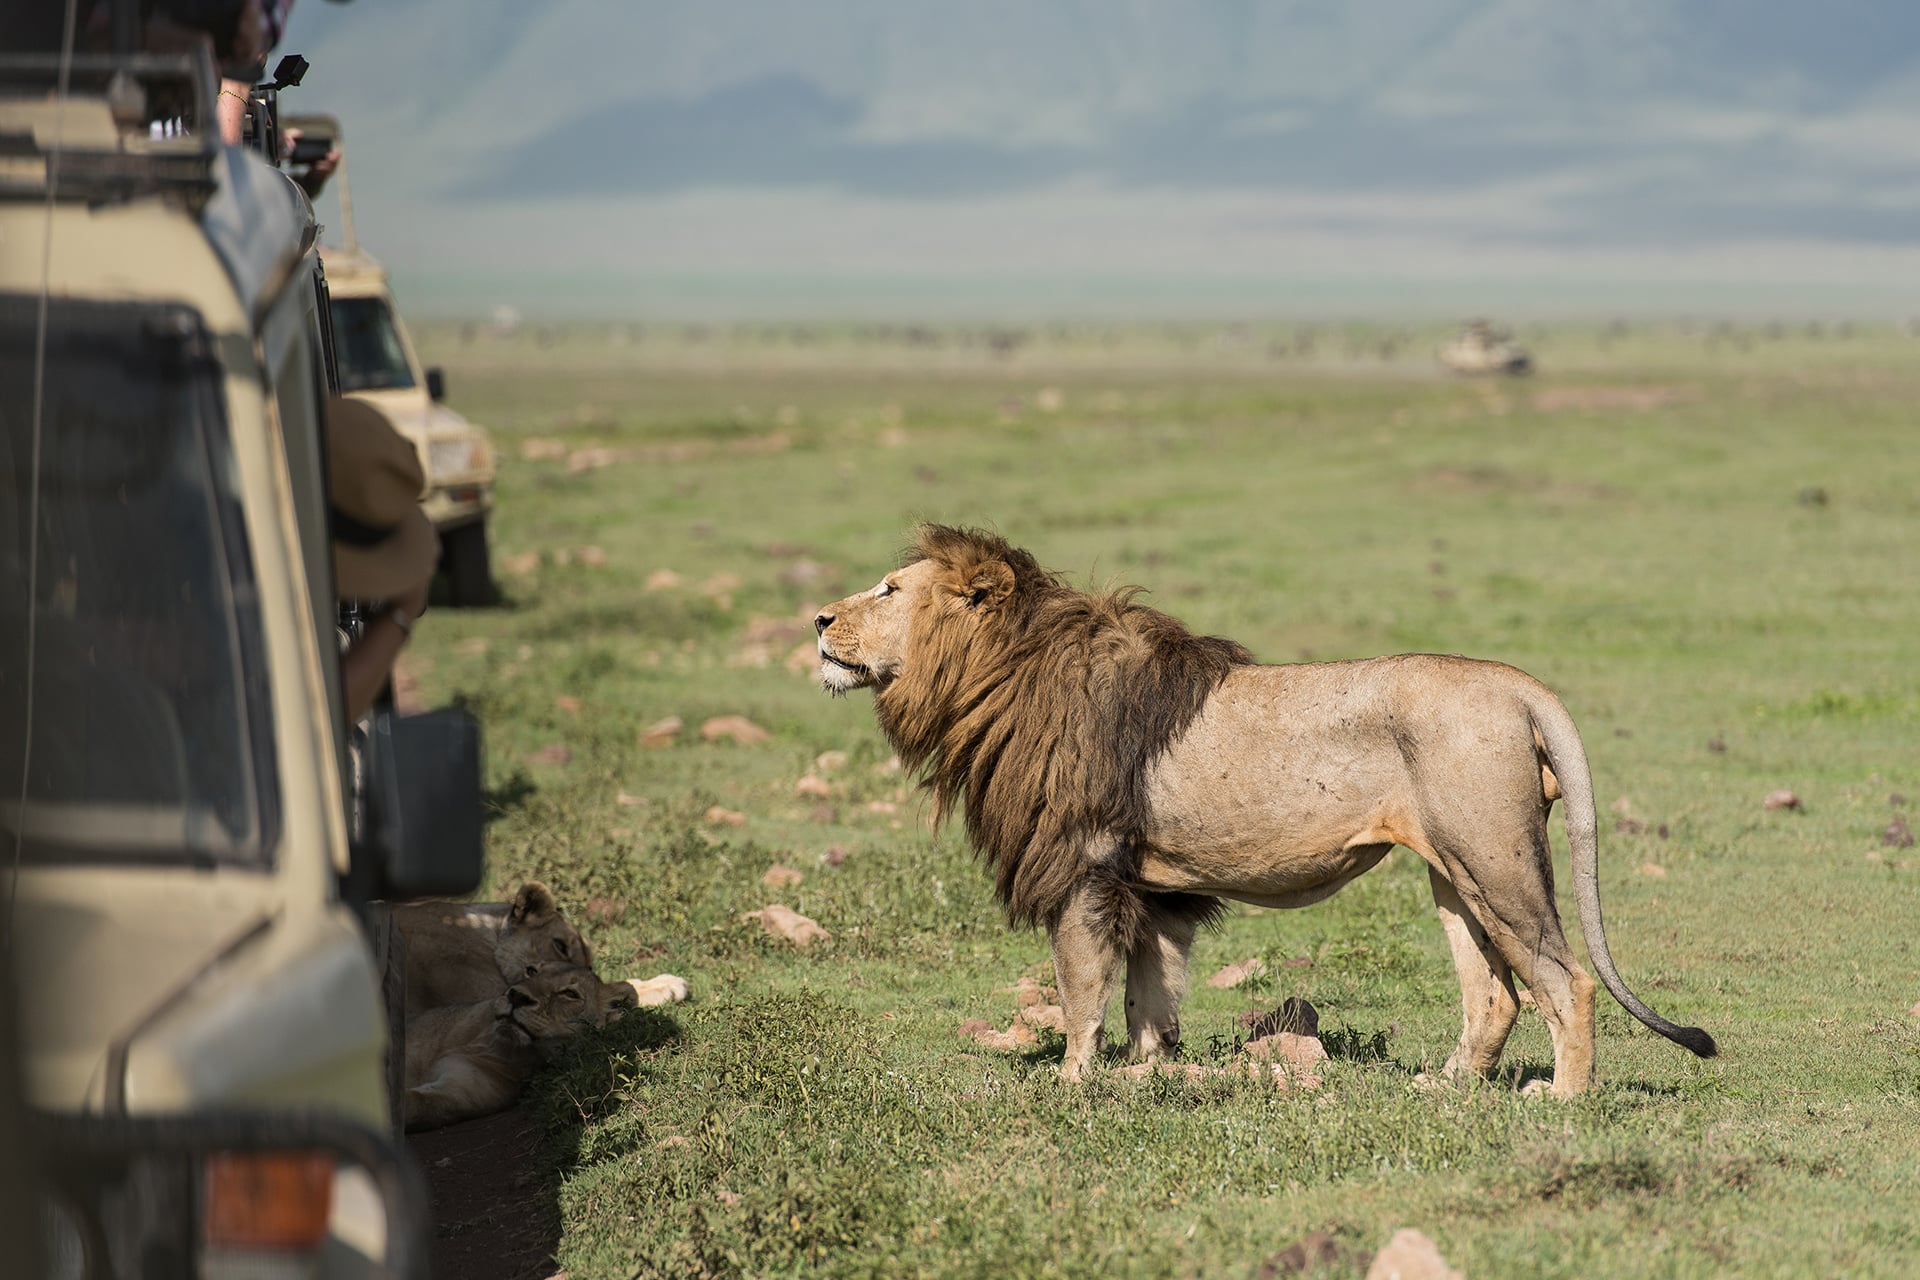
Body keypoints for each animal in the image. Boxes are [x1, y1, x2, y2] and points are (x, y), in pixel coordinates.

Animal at [403, 964, 642, 1131]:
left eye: (570, 994)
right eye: (531, 971)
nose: (516, 996)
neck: (489, 1043)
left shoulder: (459, 1091)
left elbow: (417, 1102)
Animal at [815, 525, 1715, 1097]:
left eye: (888, 590)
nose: (819, 620)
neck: (997, 674)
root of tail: (1518, 683)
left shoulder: (1082, 864)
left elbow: (1081, 989)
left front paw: (1071, 1083)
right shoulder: (1153, 887)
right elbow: (1151, 993)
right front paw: (1148, 1075)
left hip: (1495, 859)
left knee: (1568, 980)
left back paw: (1562, 1100)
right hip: (1455, 871)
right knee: (1495, 994)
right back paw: (1447, 1086)